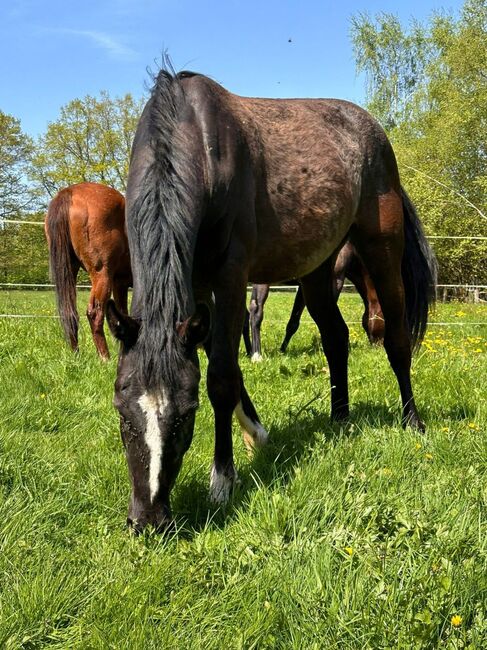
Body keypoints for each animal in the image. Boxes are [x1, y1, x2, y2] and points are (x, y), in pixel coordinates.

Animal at [45, 181, 132, 360]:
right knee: (95, 314)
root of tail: (70, 191)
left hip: (70, 271)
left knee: (70, 313)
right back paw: (105, 358)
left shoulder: (120, 285)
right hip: (102, 275)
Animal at [244, 239, 386, 360]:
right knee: (255, 310)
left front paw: (282, 350)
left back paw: (249, 351)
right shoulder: (335, 279)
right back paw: (256, 355)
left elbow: (293, 323)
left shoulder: (304, 287)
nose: (381, 348)